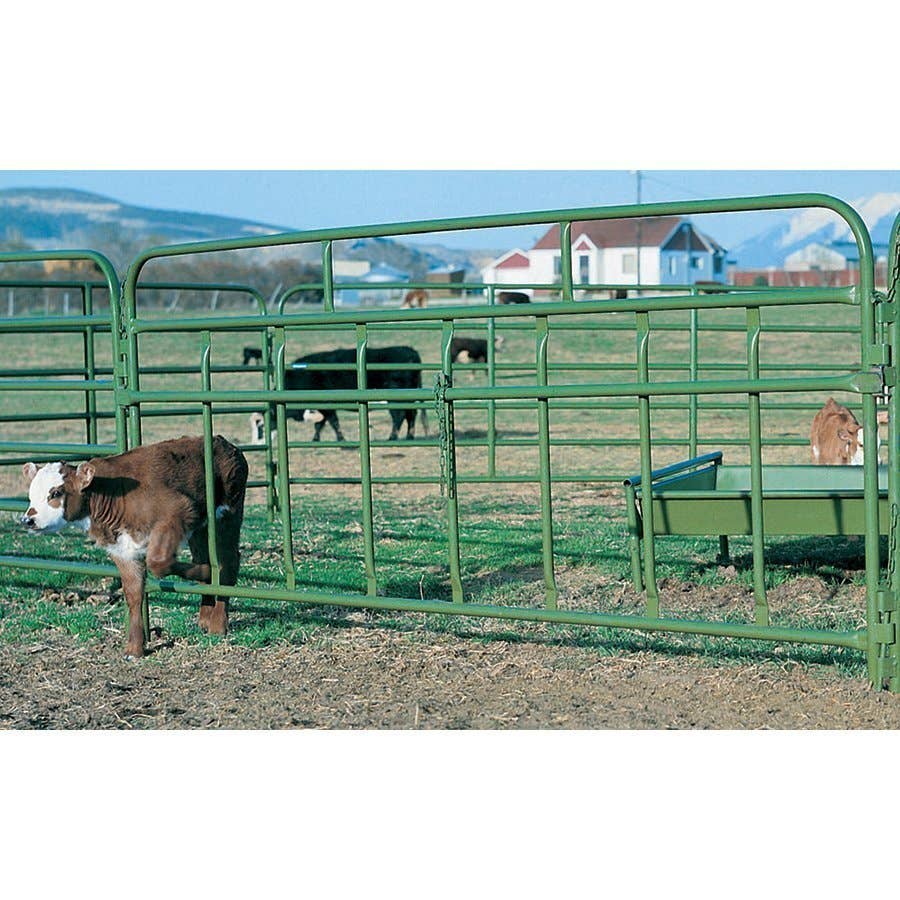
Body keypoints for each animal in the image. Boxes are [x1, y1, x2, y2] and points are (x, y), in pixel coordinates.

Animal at [21, 436, 248, 659]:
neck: (113, 495)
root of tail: (224, 442)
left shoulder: (179, 511)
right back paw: (204, 619)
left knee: (227, 563)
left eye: (56, 493)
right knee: (204, 557)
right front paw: (135, 648)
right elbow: (133, 593)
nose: (27, 520)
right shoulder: (122, 550)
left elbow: (158, 563)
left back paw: (218, 623)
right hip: (200, 528)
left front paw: (206, 573)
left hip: (226, 515)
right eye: (31, 494)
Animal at [249, 346, 428, 444]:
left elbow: (330, 422)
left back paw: (392, 437)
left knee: (399, 416)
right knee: (411, 415)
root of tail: (411, 351)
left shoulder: (326, 406)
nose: (255, 443)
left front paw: (338, 439)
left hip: (395, 399)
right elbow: (324, 423)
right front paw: (319, 439)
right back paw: (409, 436)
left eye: (260, 426)